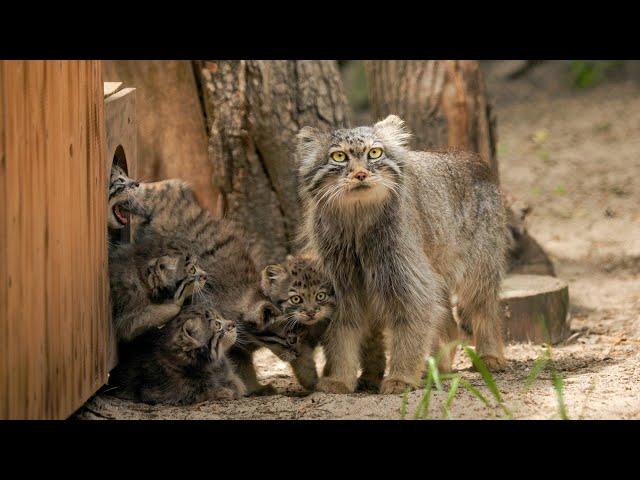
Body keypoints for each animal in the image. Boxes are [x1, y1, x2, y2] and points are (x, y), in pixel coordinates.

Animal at [110, 304, 245, 404]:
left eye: (221, 317)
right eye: (217, 324)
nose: (233, 323)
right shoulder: (152, 392)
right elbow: (200, 393)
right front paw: (224, 392)